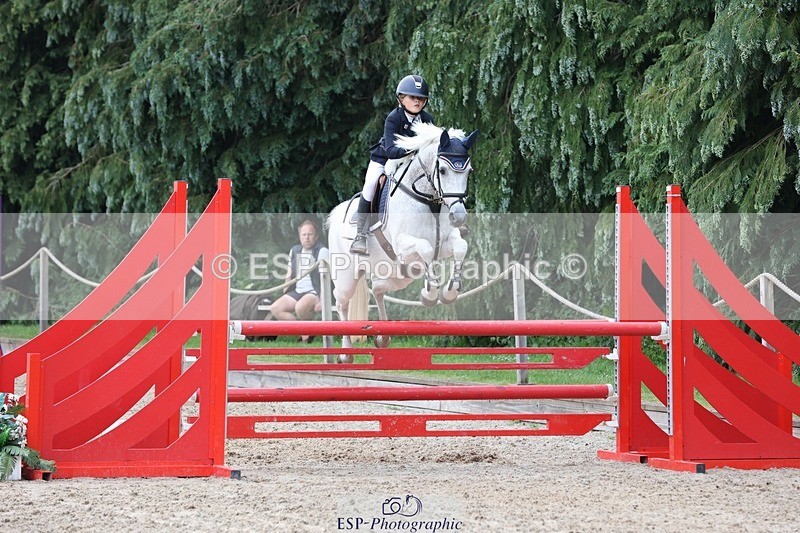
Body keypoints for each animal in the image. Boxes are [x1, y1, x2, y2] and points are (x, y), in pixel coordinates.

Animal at [327, 122, 478, 357]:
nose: (459, 216)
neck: (430, 202)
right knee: (342, 301)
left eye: (468, 172)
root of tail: (335, 215)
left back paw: (383, 337)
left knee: (378, 289)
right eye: (442, 170)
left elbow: (461, 246)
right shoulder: (403, 246)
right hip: (347, 276)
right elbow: (425, 249)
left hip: (397, 274)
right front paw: (430, 293)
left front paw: (448, 292)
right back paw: (346, 352)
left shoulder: (445, 243)